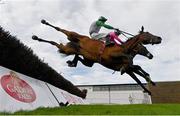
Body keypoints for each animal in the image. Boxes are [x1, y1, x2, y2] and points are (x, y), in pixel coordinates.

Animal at [32, 19, 162, 94]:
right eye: (147, 33)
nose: (159, 38)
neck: (124, 48)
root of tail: (79, 41)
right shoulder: (114, 57)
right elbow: (134, 68)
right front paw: (148, 82)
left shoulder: (129, 69)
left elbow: (138, 75)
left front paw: (150, 84)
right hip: (72, 35)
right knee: (60, 31)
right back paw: (41, 29)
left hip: (85, 59)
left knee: (65, 49)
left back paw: (71, 62)